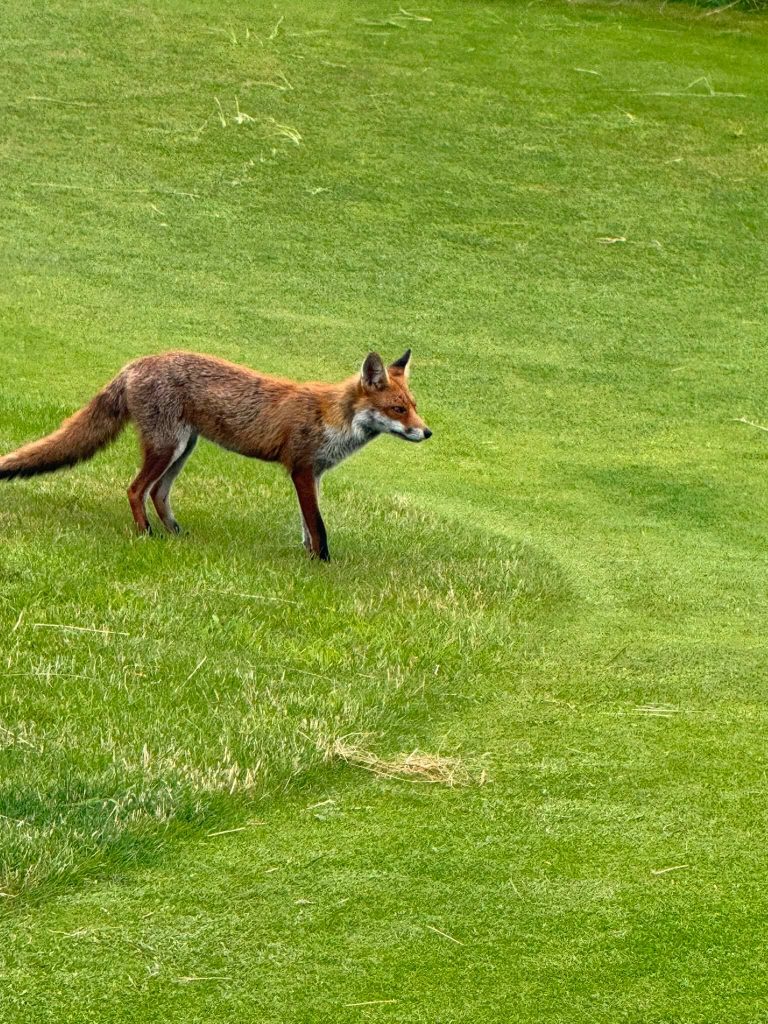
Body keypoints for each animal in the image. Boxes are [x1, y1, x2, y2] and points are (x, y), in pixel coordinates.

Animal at [0, 349, 431, 561]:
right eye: (398, 409)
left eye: (413, 406)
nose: (427, 432)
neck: (334, 417)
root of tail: (134, 364)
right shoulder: (302, 468)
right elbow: (319, 526)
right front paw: (322, 564)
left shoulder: (315, 475)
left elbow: (308, 527)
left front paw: (309, 559)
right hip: (167, 447)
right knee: (135, 490)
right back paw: (146, 534)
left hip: (182, 448)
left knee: (157, 493)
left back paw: (175, 533)